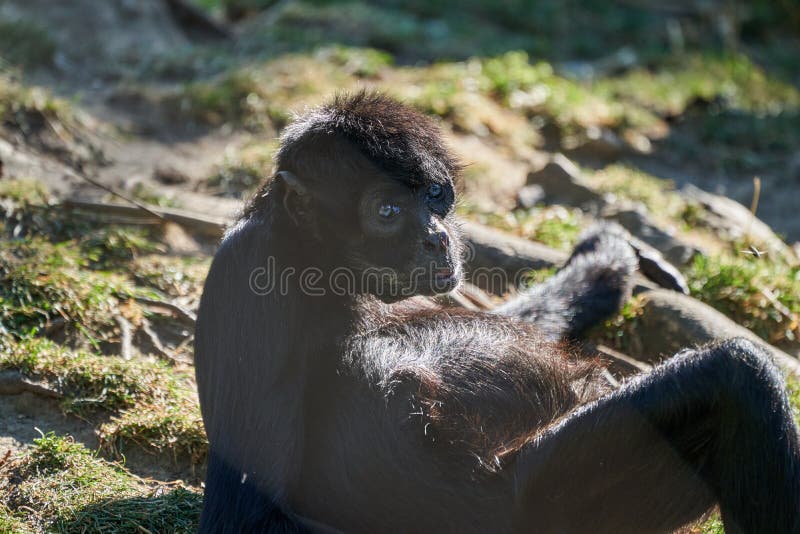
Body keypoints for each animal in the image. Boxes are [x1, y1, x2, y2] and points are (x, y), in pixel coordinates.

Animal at [195, 92, 800, 534]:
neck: (320, 266)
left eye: (436, 195)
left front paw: (608, 260)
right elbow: (245, 519)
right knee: (735, 372)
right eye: (387, 211)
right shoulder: (253, 271)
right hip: (541, 503)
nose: (438, 237)